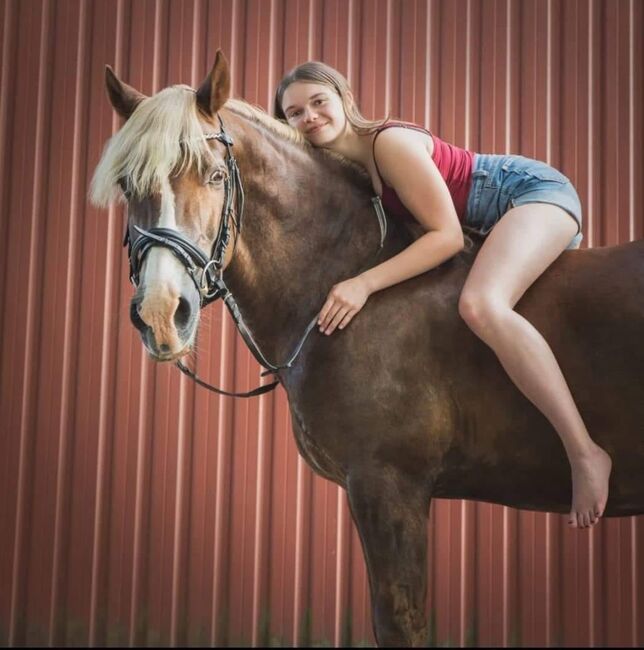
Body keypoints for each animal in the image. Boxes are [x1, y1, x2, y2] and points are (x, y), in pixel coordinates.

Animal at [89, 53, 644, 644]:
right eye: (127, 184)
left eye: (216, 175)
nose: (160, 313)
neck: (354, 274)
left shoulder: (388, 488)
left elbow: (400, 621)